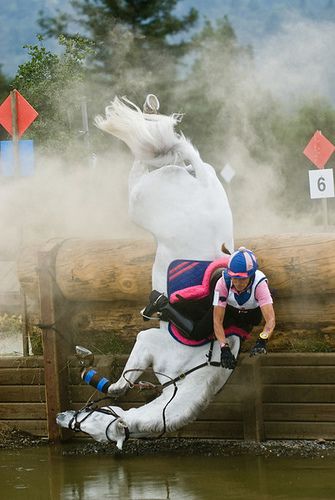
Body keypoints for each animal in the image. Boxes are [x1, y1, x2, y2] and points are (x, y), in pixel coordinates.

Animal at [56, 95, 238, 448]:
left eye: (90, 425)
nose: (62, 418)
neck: (193, 371)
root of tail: (202, 179)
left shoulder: (151, 344)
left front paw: (111, 388)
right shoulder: (149, 342)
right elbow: (128, 376)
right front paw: (115, 387)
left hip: (145, 198)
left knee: (145, 163)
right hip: (144, 201)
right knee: (144, 162)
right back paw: (148, 114)